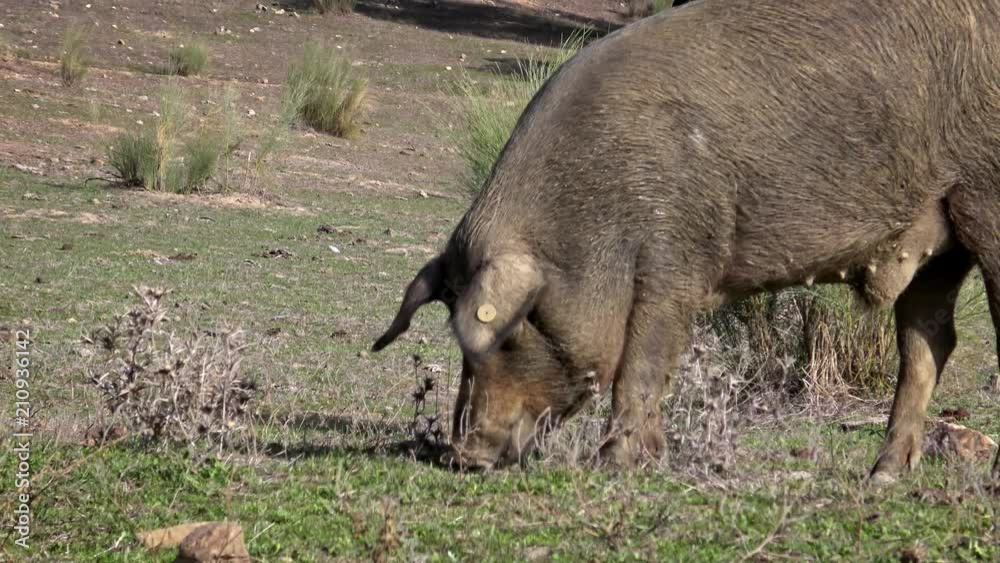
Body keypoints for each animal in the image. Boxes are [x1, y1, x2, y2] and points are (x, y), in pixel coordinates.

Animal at [374, 0, 1000, 482]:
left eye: (512, 333)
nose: (462, 455)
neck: (595, 212)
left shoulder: (676, 256)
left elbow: (643, 362)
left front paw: (616, 465)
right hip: (939, 246)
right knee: (928, 342)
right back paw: (882, 475)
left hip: (985, 198)